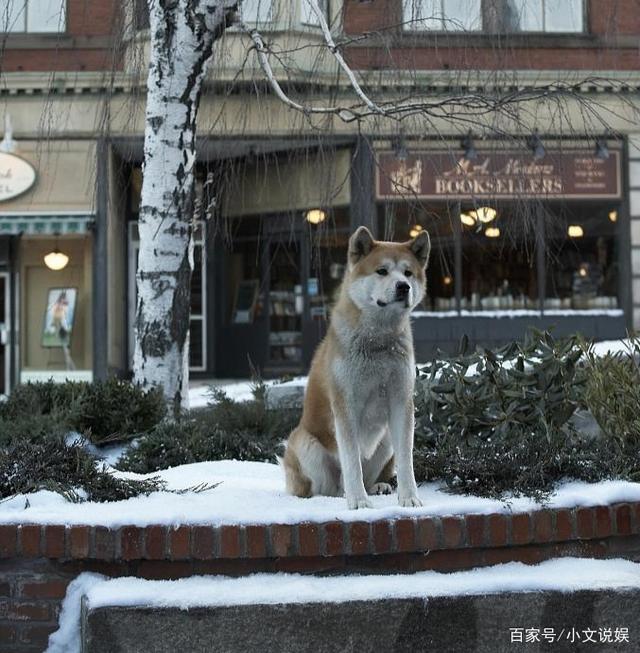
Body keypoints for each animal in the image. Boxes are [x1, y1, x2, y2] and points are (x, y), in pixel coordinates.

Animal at [280, 225, 430, 510]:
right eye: (382, 271)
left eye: (408, 273)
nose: (403, 287)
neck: (378, 343)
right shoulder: (345, 404)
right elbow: (351, 461)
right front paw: (358, 502)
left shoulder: (401, 401)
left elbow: (406, 461)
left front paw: (409, 497)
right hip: (305, 444)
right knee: (328, 487)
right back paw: (337, 495)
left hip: (385, 441)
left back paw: (377, 487)